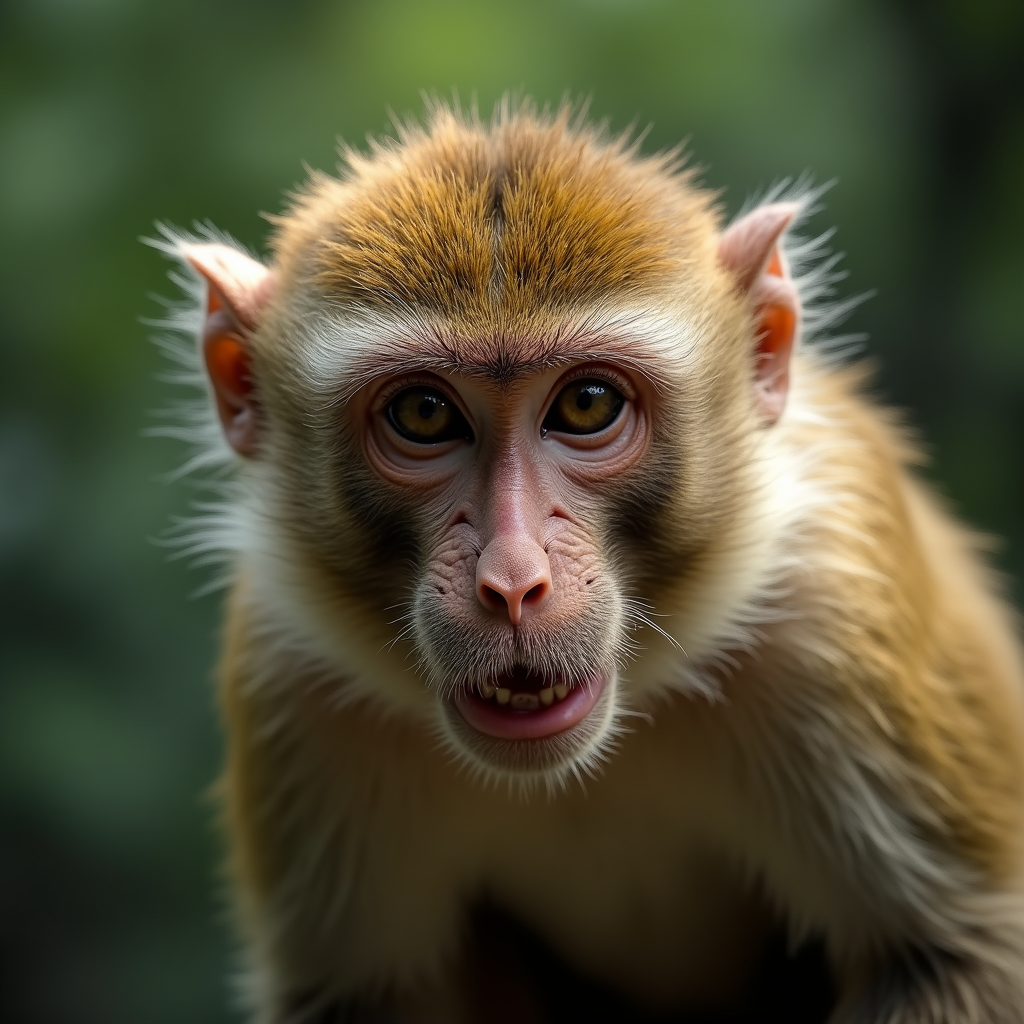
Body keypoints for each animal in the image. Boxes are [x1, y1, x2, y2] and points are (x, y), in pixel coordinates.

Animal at [150, 102, 1024, 1023]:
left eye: (586, 404)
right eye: (424, 414)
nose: (511, 581)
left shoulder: (832, 616)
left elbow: (949, 954)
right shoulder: (294, 685)